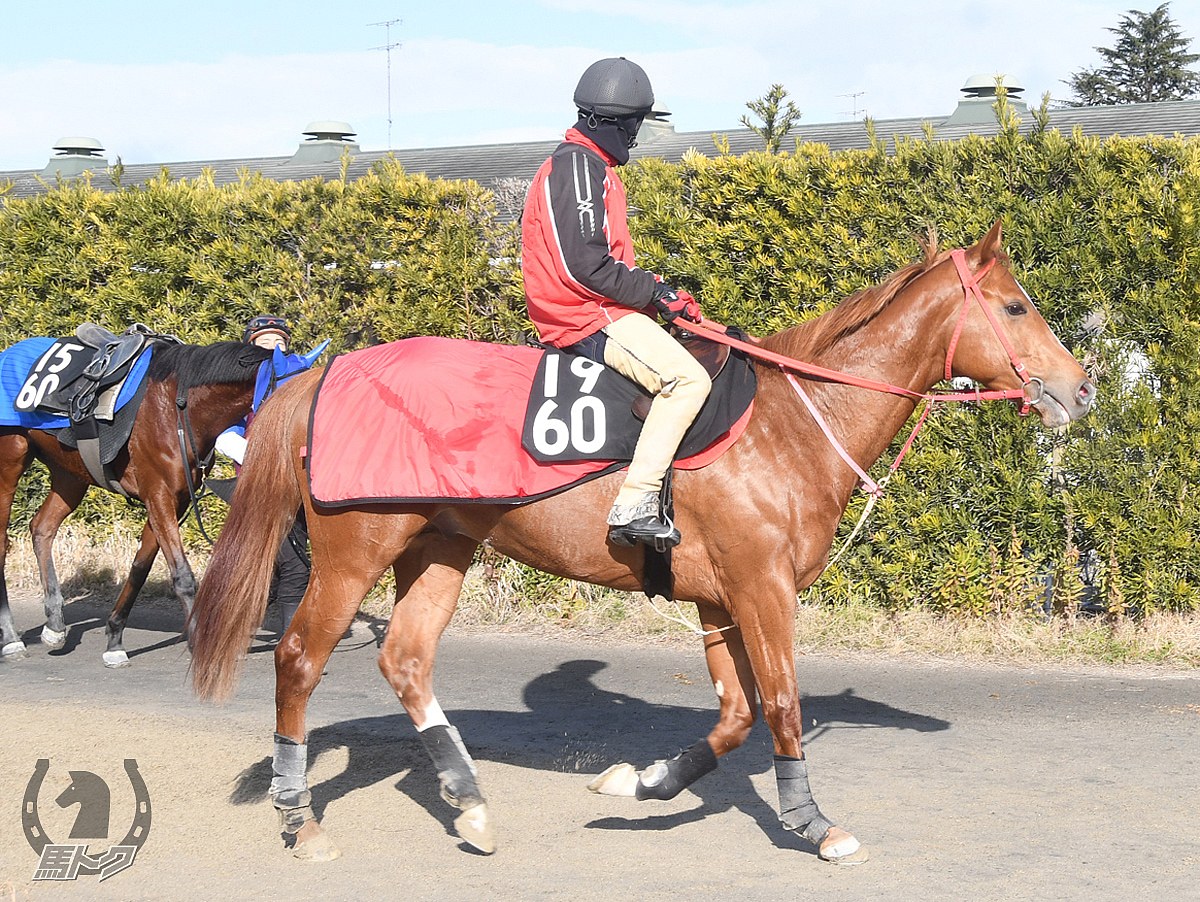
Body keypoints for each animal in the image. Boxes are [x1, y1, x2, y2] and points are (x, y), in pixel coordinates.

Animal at [0, 338, 274, 662]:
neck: (179, 408)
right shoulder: (159, 495)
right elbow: (182, 575)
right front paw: (197, 641)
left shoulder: (175, 499)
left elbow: (140, 567)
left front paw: (115, 637)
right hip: (10, 460)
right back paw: (10, 637)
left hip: (69, 473)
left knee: (42, 527)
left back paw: (54, 624)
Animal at [187, 221, 1099, 863]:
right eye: (1015, 306)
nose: (1081, 387)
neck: (789, 423)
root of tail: (324, 373)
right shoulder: (762, 590)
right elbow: (781, 704)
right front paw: (813, 822)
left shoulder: (721, 599)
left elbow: (735, 715)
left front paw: (644, 780)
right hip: (354, 552)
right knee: (299, 657)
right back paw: (299, 819)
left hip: (439, 548)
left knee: (406, 659)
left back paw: (469, 801)